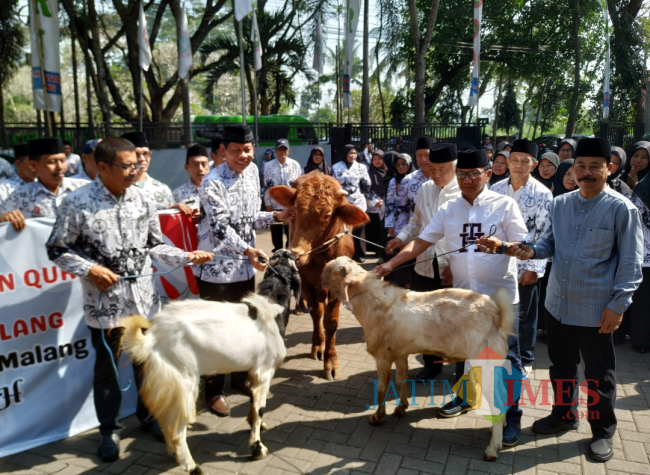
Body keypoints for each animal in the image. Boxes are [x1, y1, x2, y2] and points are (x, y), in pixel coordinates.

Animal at [119, 296, 286, 474]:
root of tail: (153, 338)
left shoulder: (254, 372)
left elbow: (252, 402)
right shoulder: (265, 372)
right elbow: (260, 408)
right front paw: (258, 448)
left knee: (166, 419)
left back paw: (174, 453)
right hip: (183, 381)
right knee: (177, 428)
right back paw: (192, 466)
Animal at [268, 173, 368, 382]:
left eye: (327, 215)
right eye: (295, 209)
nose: (296, 253)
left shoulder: (339, 286)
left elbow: (331, 322)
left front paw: (331, 362)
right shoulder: (305, 279)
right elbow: (317, 313)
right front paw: (318, 346)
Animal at [320, 256, 516, 462]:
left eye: (331, 270)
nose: (319, 279)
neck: (373, 303)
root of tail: (497, 314)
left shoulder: (383, 356)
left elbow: (382, 386)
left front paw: (377, 417)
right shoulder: (400, 353)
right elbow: (400, 381)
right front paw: (401, 408)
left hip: (484, 364)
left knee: (497, 400)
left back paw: (492, 448)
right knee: (503, 395)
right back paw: (497, 430)